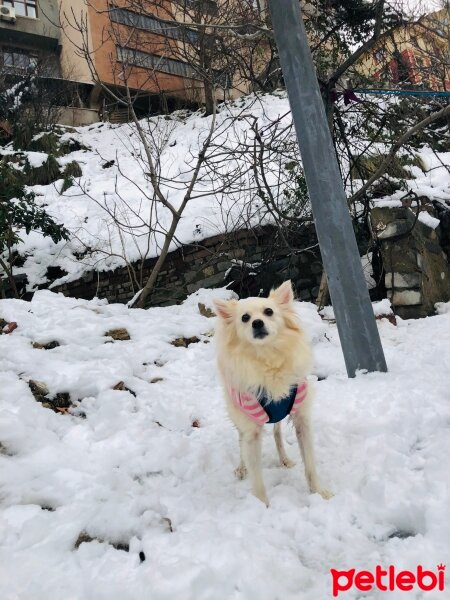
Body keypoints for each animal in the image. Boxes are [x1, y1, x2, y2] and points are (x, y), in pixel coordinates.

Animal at [214, 282, 330, 506]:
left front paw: (319, 492)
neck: (268, 357)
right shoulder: (251, 433)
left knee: (277, 434)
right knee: (240, 442)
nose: (257, 323)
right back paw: (241, 467)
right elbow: (257, 478)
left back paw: (283, 459)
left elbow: (310, 464)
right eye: (245, 318)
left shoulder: (302, 420)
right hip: (238, 416)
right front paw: (261, 505)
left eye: (269, 312)